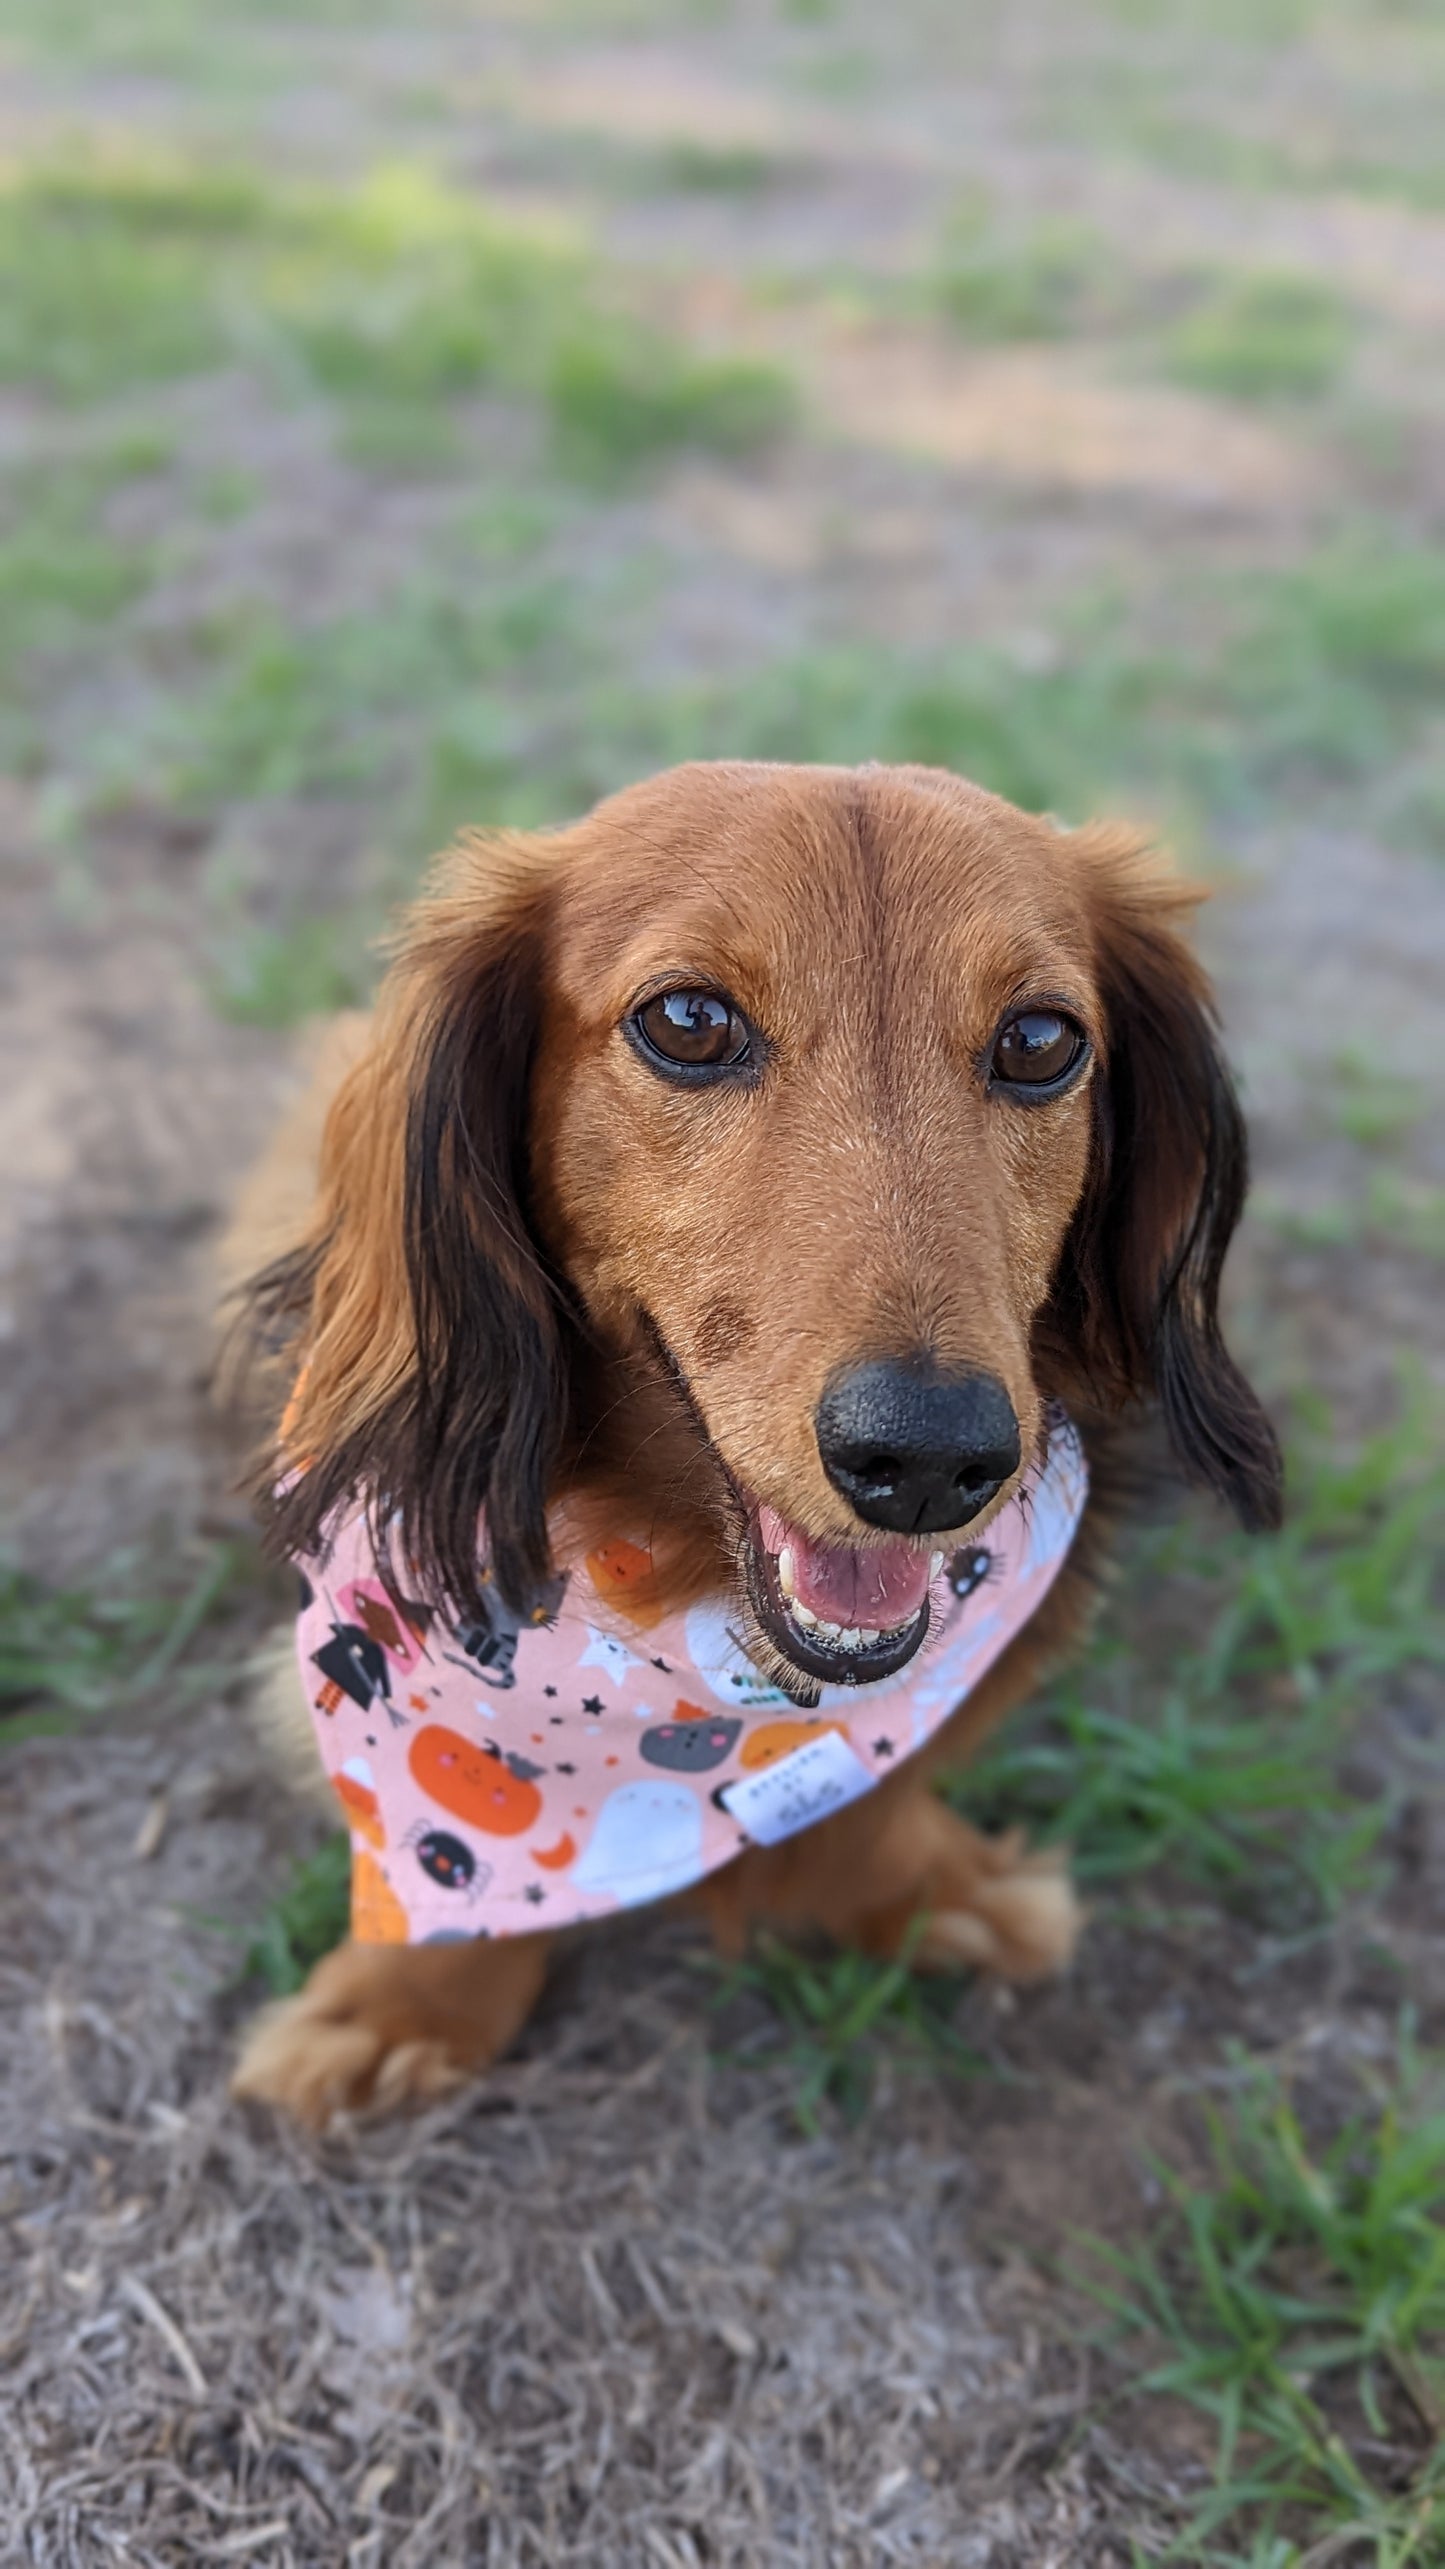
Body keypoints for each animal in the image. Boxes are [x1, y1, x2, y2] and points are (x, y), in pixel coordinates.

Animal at [230, 755, 1275, 2127]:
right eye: (687, 1021)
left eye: (1040, 1041)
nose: (926, 1460)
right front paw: (409, 2003)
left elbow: (881, 1793)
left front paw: (919, 1891)